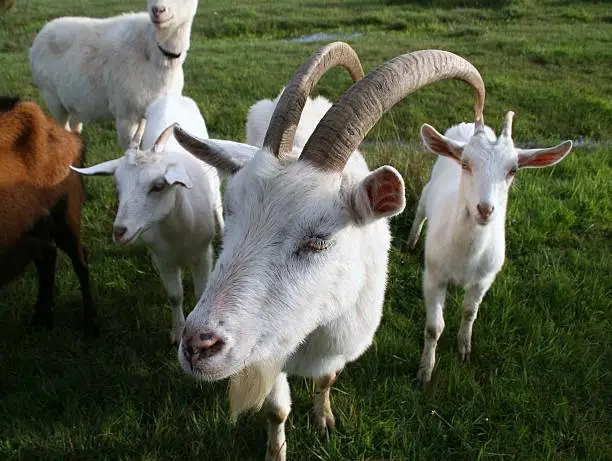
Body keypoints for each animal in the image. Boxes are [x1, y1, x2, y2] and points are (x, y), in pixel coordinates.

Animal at [0, 96, 97, 334]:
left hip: (66, 214)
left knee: (79, 259)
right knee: (47, 254)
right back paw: (41, 317)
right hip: (35, 222)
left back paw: (91, 323)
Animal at [29, 0, 198, 149]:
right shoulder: (125, 114)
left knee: (74, 129)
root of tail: (43, 31)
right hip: (52, 97)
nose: (158, 10)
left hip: (74, 101)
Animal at [71, 95, 222, 344]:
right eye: (118, 185)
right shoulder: (164, 259)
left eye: (159, 185)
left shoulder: (202, 255)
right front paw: (177, 332)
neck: (178, 234)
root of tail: (173, 96)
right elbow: (174, 296)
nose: (119, 231)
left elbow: (201, 294)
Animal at [172, 40, 488, 460]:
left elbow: (327, 380)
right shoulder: (269, 345)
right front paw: (277, 450)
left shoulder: (342, 345)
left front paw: (324, 420)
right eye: (231, 210)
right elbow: (276, 410)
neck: (314, 328)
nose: (198, 346)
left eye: (319, 238)